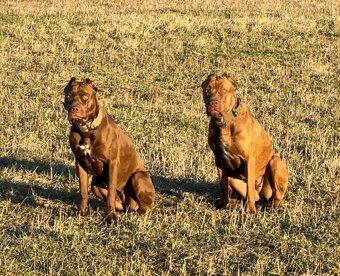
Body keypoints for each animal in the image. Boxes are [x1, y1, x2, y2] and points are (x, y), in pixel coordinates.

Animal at [62, 77, 155, 222]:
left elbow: (111, 191)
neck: (87, 130)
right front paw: (82, 212)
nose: (74, 109)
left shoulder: (112, 163)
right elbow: (83, 190)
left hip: (138, 176)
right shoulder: (80, 162)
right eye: (69, 96)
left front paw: (110, 217)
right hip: (96, 185)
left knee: (144, 207)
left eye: (85, 96)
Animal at [201, 73, 288, 213]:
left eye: (224, 91)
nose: (213, 102)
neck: (225, 123)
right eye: (207, 90)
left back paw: (271, 205)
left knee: (276, 195)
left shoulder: (248, 159)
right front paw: (222, 204)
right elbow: (222, 184)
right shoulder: (219, 159)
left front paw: (250, 210)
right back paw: (234, 202)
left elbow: (249, 189)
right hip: (233, 177)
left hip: (275, 161)